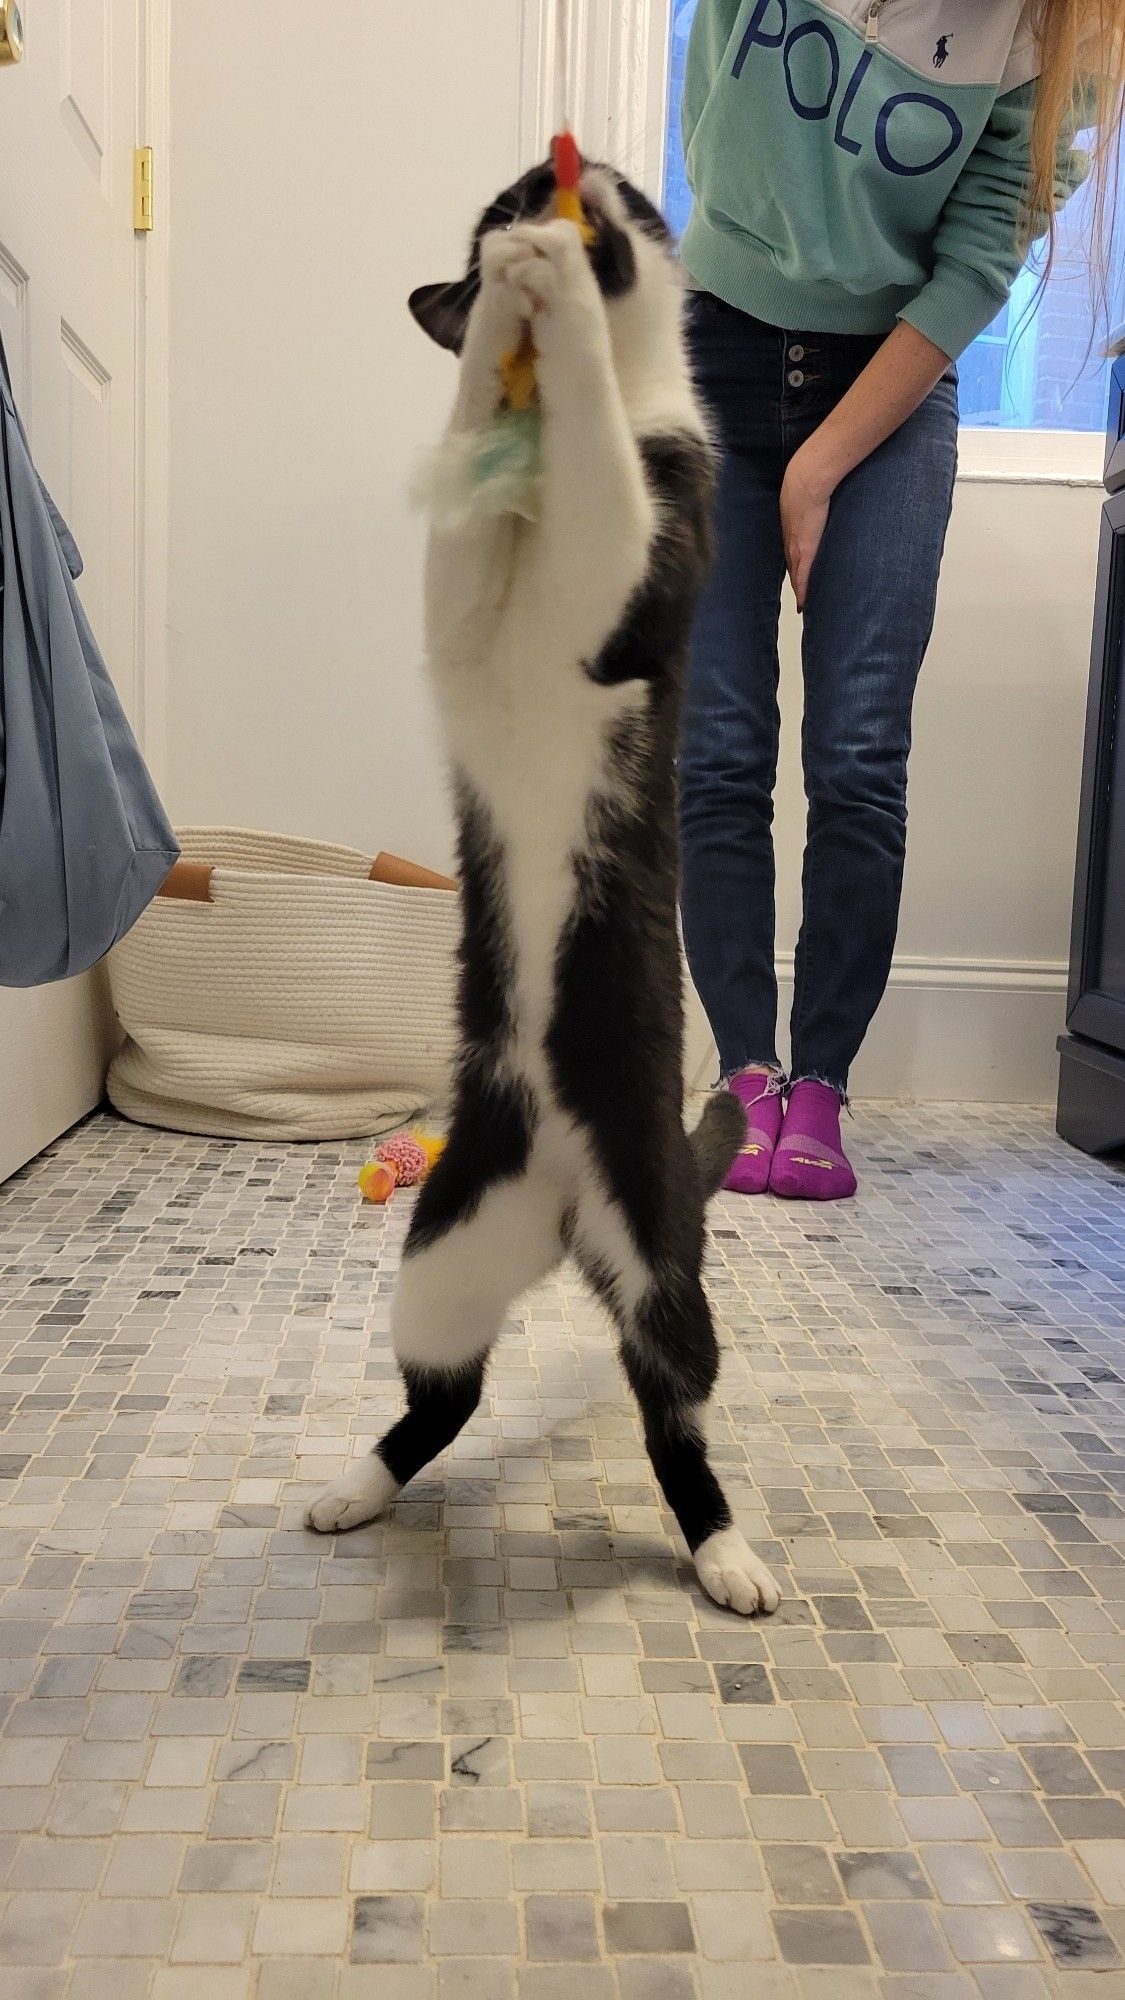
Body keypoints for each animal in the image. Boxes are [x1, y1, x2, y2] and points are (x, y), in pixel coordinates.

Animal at [306, 160, 780, 1624]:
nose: (543, 191)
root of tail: (568, 1212)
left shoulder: (642, 550)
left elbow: (604, 506)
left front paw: (555, 292)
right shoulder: (462, 616)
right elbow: (461, 545)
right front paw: (503, 322)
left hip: (660, 1257)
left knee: (674, 1402)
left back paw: (726, 1548)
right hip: (447, 1245)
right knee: (443, 1388)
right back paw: (357, 1486)